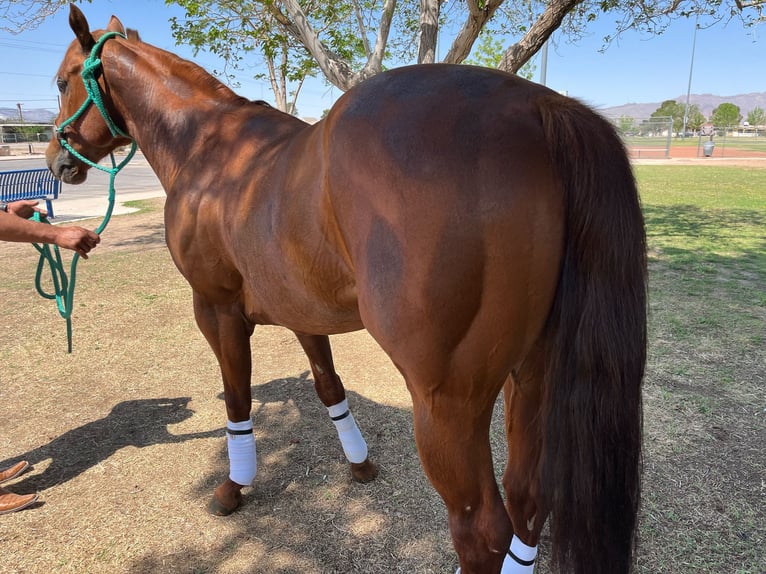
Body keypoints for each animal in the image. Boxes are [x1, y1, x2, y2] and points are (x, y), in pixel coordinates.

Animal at [47, 6, 647, 574]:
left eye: (60, 81)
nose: (57, 160)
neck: (210, 145)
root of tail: (540, 107)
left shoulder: (215, 308)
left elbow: (238, 397)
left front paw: (235, 486)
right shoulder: (302, 309)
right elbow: (328, 384)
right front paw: (359, 463)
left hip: (449, 400)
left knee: (482, 530)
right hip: (533, 375)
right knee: (530, 499)